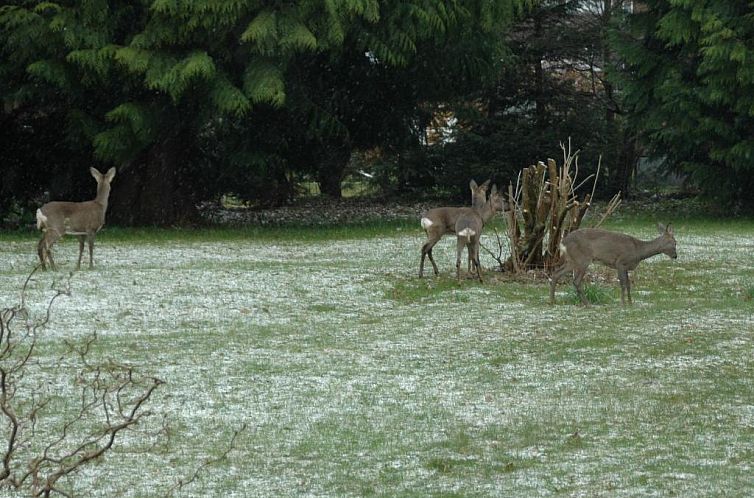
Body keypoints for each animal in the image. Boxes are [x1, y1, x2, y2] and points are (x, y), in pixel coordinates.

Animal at [548, 224, 676, 306]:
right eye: (674, 242)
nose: (675, 256)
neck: (638, 251)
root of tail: (562, 242)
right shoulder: (620, 262)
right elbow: (623, 284)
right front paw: (623, 303)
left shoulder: (626, 267)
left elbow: (628, 284)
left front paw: (630, 303)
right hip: (582, 259)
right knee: (576, 281)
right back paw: (587, 304)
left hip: (572, 260)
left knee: (556, 274)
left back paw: (552, 301)